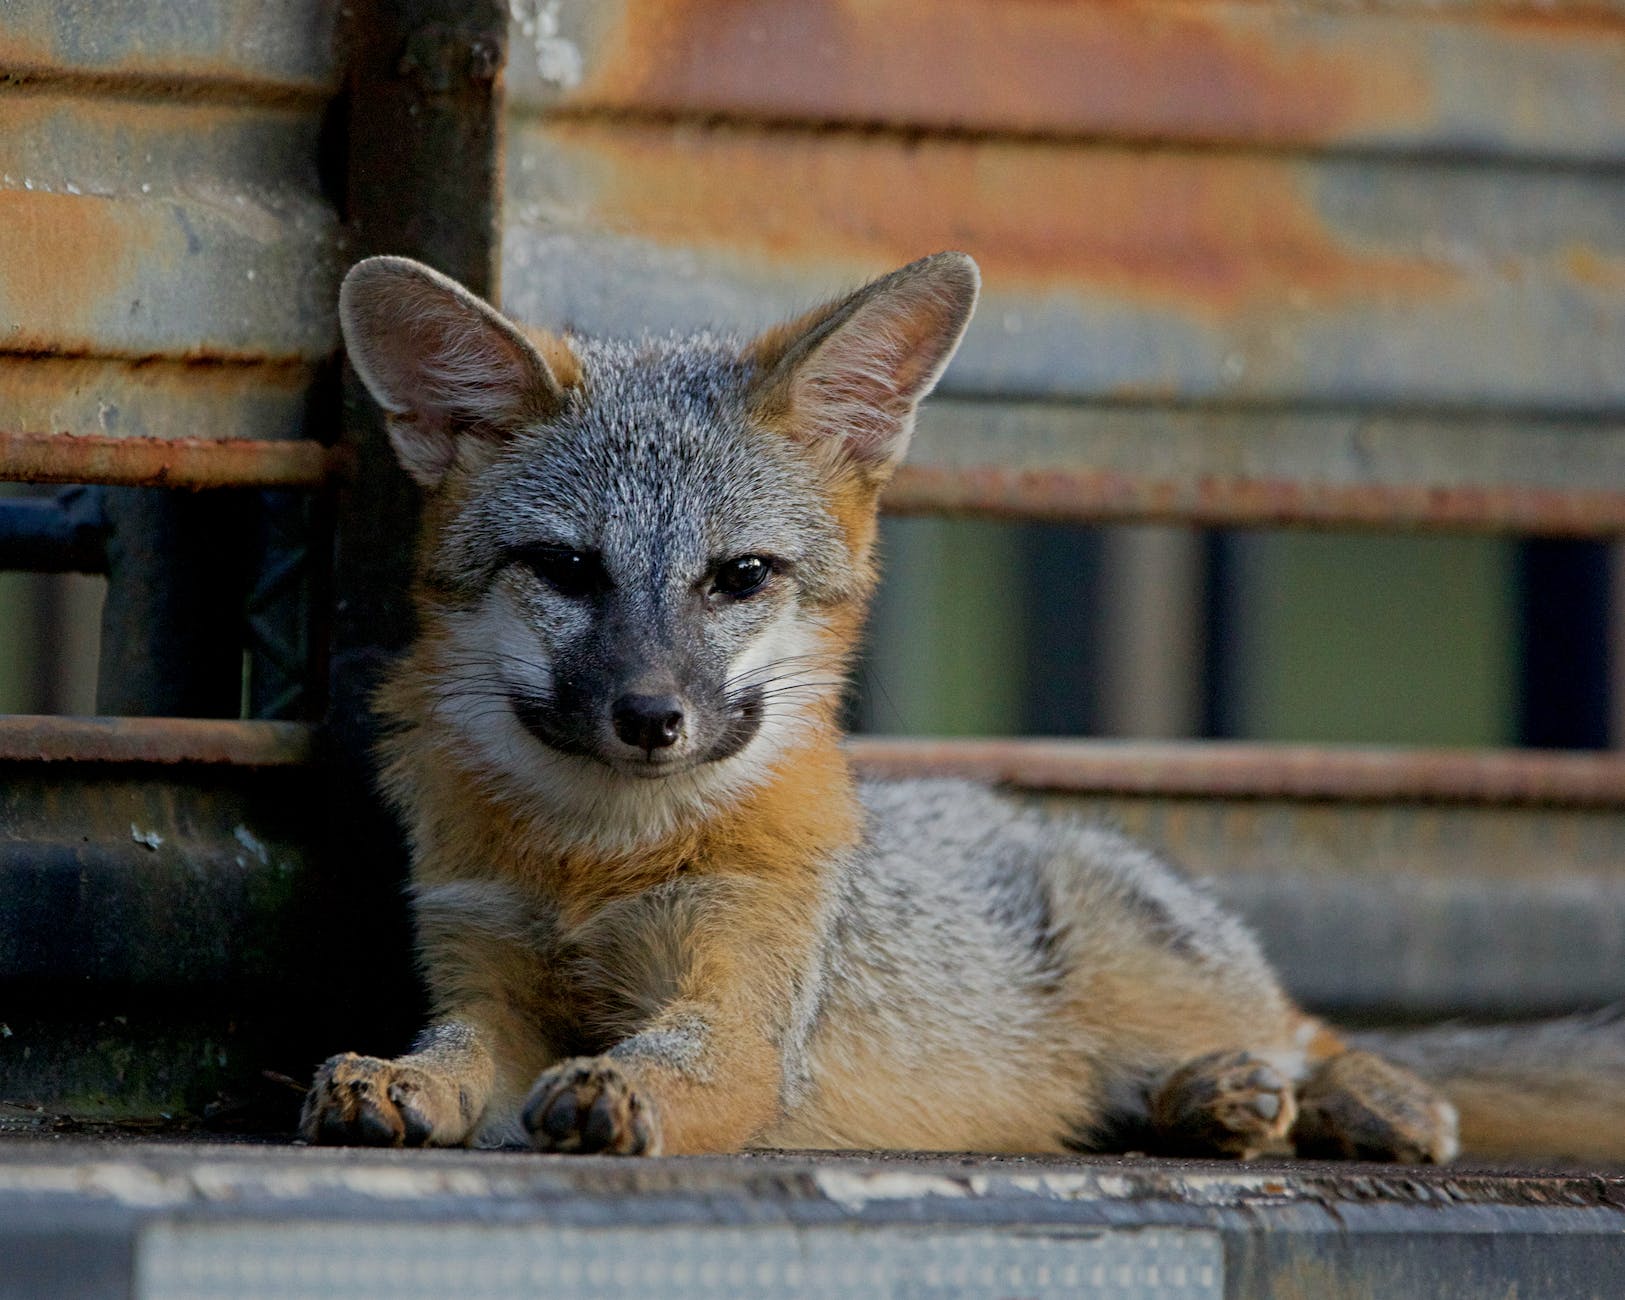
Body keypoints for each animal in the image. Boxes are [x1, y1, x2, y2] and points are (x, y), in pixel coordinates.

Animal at [302, 251, 1625, 1157]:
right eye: (567, 569)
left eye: (739, 576)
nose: (650, 715)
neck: (596, 859)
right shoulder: (481, 966)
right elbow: (458, 1047)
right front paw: (403, 1080)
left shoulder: (744, 1000)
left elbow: (681, 1056)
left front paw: (618, 1085)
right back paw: (1212, 1101)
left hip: (1158, 980)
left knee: (1313, 1033)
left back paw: (1362, 1098)